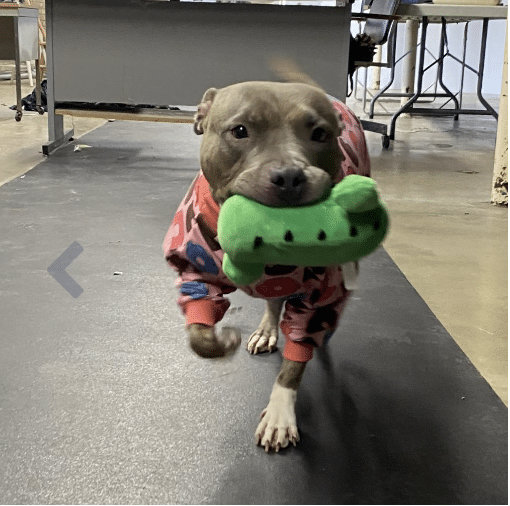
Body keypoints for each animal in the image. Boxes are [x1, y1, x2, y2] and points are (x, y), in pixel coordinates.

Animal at [165, 78, 368, 450]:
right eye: (239, 131)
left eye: (319, 133)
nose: (289, 175)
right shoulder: (194, 270)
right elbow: (199, 333)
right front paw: (221, 341)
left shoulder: (319, 298)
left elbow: (295, 360)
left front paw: (279, 414)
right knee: (274, 301)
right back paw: (266, 330)